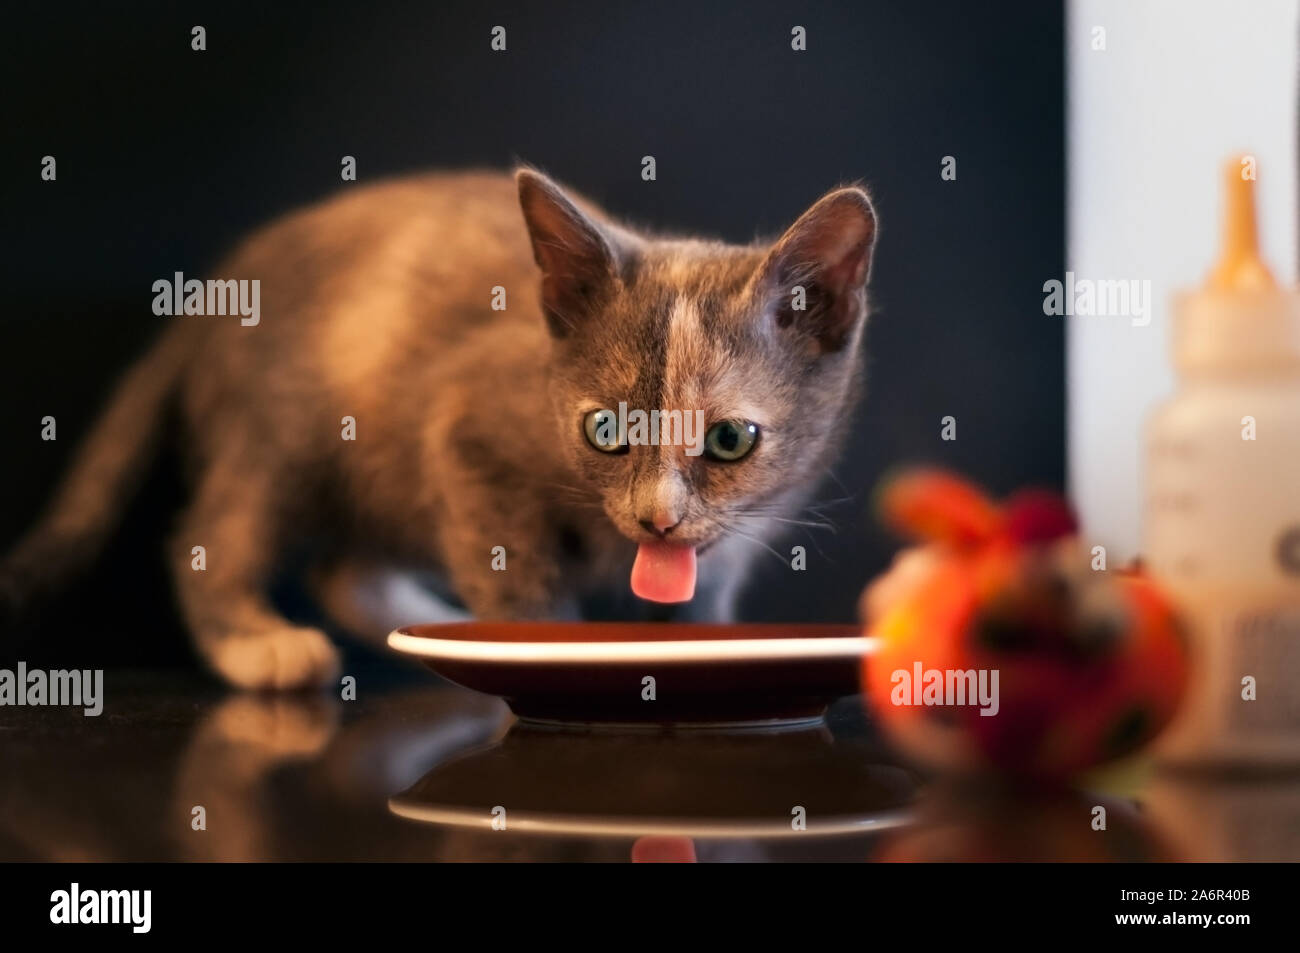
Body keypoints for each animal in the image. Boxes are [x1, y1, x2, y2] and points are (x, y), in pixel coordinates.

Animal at [0, 167, 878, 686]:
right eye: (604, 429)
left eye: (730, 440)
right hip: (289, 431)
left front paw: (698, 640)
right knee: (214, 534)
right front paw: (539, 648)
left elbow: (699, 596)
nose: (655, 517)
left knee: (342, 568)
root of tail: (210, 294)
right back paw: (258, 641)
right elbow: (522, 586)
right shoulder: (466, 430)